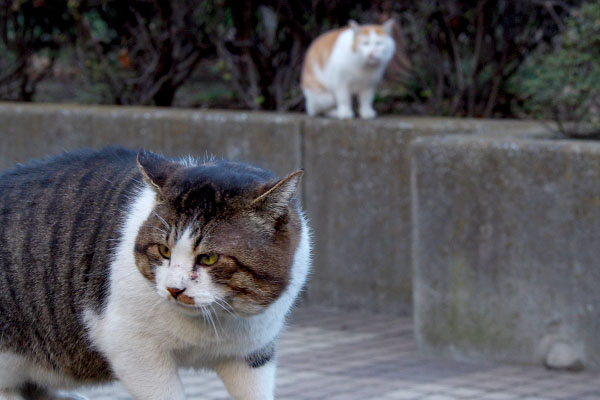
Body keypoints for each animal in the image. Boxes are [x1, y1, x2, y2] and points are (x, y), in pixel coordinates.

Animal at [0, 147, 312, 400]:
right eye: (164, 250)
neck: (213, 323)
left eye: (209, 258)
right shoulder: (132, 347)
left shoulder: (250, 354)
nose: (175, 289)